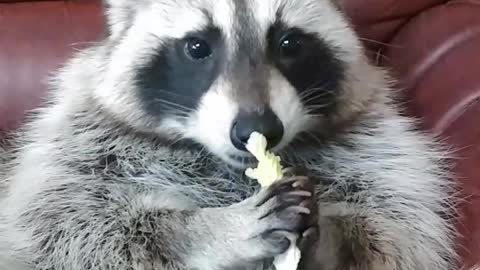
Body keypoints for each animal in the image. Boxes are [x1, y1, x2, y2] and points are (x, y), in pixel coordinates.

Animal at [0, 0, 462, 268]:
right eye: (197, 47)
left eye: (289, 43)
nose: (259, 131)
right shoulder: (75, 146)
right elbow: (78, 231)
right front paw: (211, 231)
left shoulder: (382, 145)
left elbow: (395, 231)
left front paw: (330, 238)